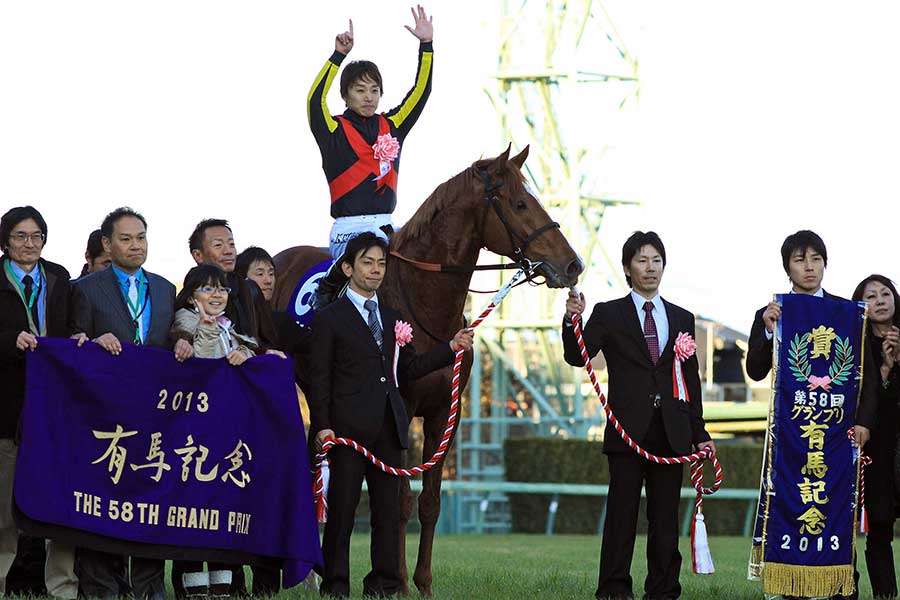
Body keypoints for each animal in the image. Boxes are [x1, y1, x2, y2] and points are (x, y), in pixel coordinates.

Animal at [272, 145, 583, 596]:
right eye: (521, 203)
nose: (573, 265)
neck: (423, 304)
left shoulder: (444, 415)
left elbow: (430, 502)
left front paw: (423, 584)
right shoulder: (399, 412)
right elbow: (399, 498)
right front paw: (398, 583)